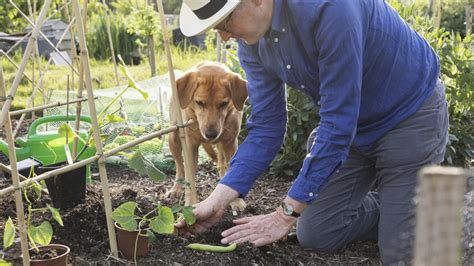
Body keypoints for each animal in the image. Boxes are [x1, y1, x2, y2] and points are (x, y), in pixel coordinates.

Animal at [166, 61, 248, 210]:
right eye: (199, 103)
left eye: (223, 104)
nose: (210, 134)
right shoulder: (190, 146)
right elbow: (190, 178)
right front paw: (190, 204)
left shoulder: (230, 142)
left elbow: (231, 171)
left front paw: (235, 200)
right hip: (173, 137)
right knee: (179, 167)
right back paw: (176, 189)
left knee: (221, 163)